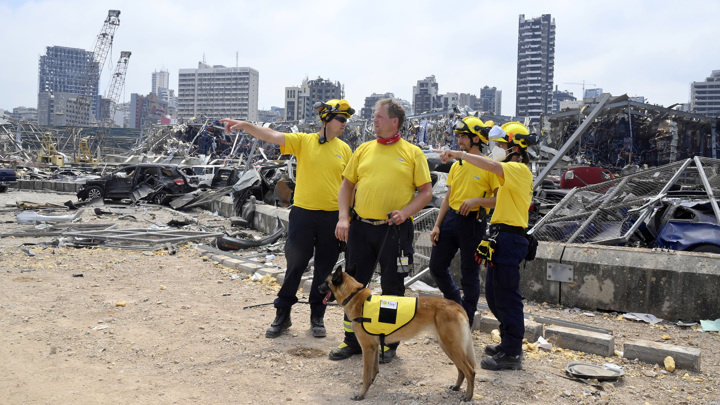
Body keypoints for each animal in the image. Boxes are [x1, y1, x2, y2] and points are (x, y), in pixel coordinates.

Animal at [320, 264, 476, 400]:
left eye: (326, 283)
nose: (317, 287)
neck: (355, 296)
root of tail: (457, 306)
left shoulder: (367, 348)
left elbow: (365, 374)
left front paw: (361, 394)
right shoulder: (374, 347)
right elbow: (374, 369)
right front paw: (372, 381)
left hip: (452, 347)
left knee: (470, 371)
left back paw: (468, 396)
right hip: (448, 347)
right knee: (461, 369)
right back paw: (457, 386)